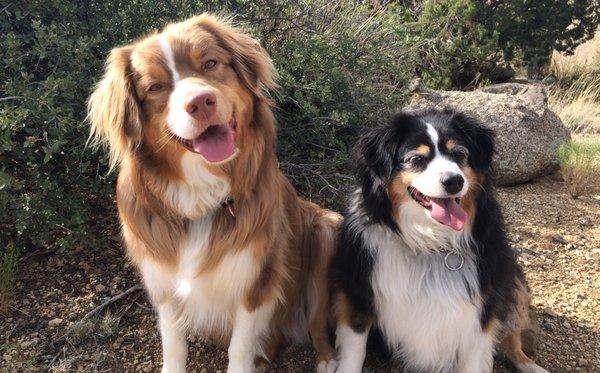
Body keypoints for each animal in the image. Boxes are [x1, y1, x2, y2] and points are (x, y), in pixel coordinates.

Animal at [87, 14, 340, 372]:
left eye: (209, 63)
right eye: (155, 87)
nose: (200, 102)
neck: (201, 199)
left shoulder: (256, 282)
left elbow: (239, 348)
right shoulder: (164, 283)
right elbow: (174, 345)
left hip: (327, 231)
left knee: (316, 320)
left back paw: (327, 359)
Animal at [330, 110, 548, 372]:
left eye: (460, 154)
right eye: (416, 159)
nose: (454, 181)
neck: (430, 244)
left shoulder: (482, 307)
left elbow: (474, 359)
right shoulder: (357, 287)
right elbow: (354, 348)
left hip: (514, 281)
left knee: (513, 342)